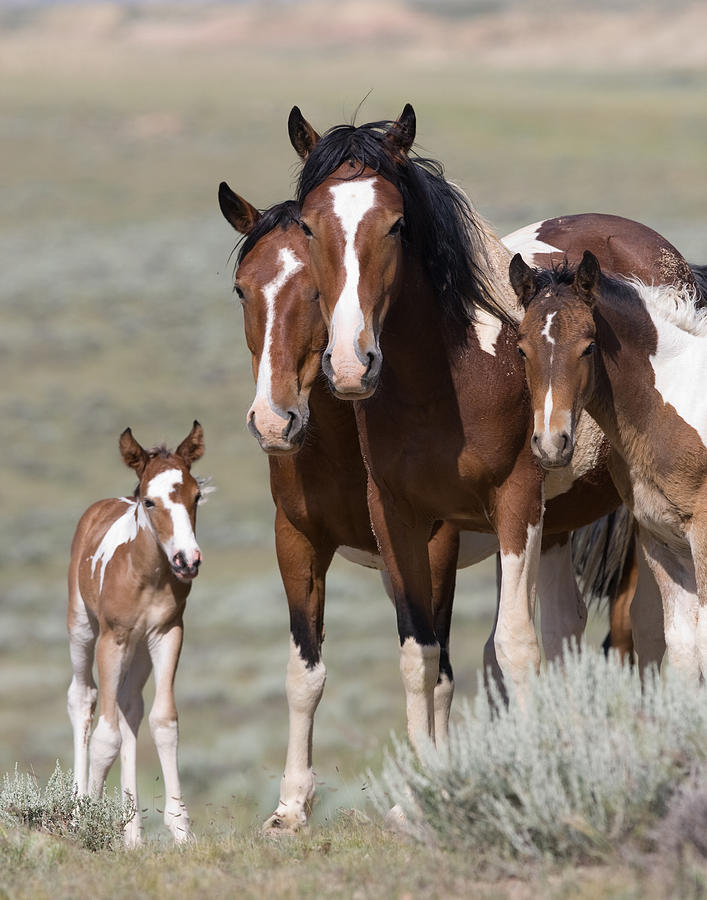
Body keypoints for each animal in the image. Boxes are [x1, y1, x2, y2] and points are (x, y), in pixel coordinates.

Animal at [66, 422, 206, 844]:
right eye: (149, 501)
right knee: (83, 698)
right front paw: (89, 821)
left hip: (140, 649)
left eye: (197, 495)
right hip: (83, 628)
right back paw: (78, 814)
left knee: (130, 706)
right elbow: (105, 736)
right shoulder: (113, 638)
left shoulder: (167, 633)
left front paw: (180, 828)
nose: (187, 560)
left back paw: (132, 836)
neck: (146, 574)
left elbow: (163, 721)